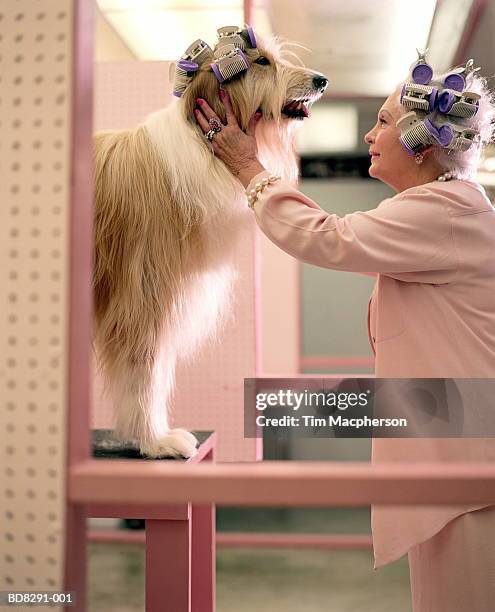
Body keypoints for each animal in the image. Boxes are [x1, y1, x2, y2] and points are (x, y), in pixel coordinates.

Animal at [93, 29, 330, 460]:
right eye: (262, 62)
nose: (322, 80)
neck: (199, 142)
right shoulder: (143, 295)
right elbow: (145, 373)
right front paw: (157, 440)